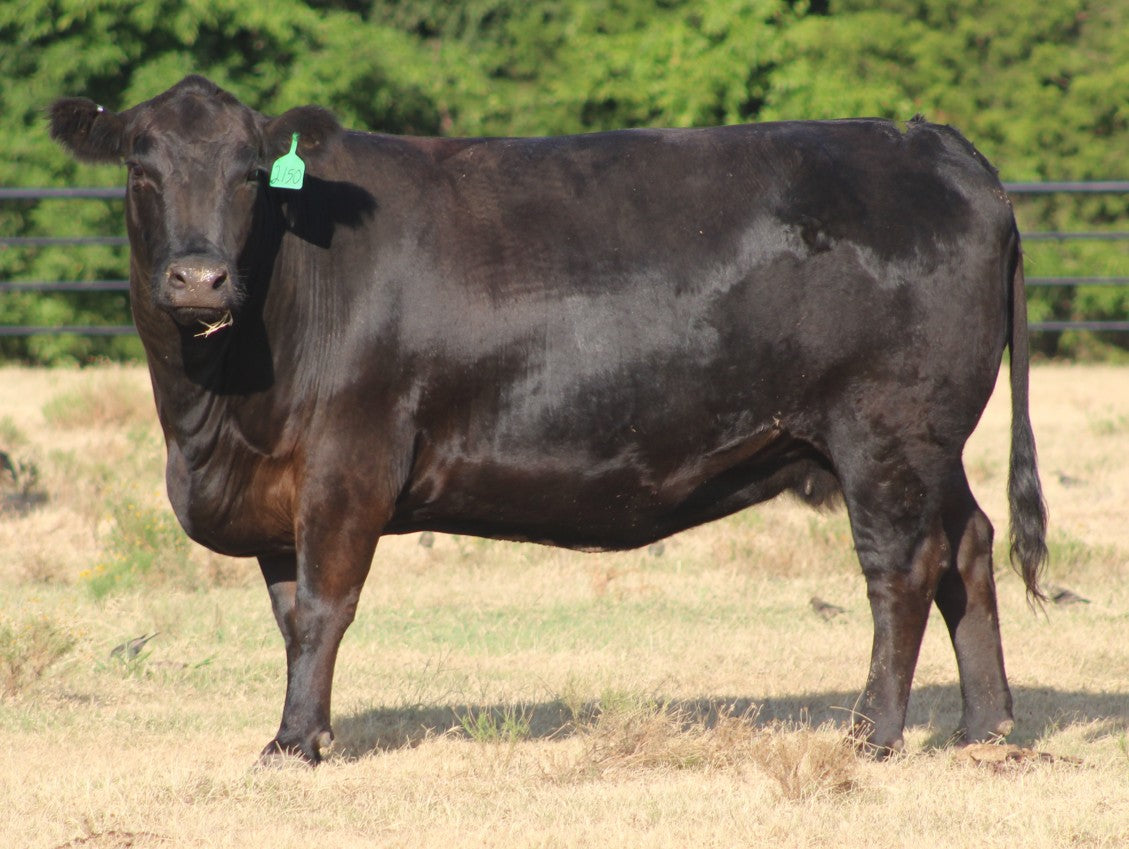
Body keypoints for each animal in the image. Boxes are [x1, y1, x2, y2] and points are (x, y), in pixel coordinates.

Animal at [49, 75, 1047, 764]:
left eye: (252, 174)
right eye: (140, 169)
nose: (200, 278)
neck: (214, 415)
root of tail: (933, 144)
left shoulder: (347, 462)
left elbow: (325, 608)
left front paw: (293, 744)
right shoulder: (274, 485)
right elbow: (290, 612)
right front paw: (310, 732)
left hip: (886, 433)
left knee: (902, 568)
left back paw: (871, 732)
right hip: (932, 444)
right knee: (967, 545)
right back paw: (987, 725)